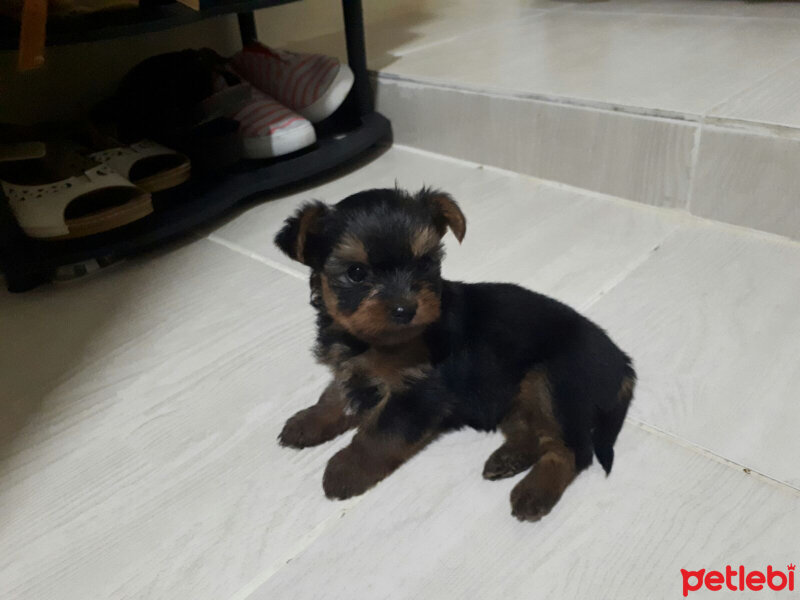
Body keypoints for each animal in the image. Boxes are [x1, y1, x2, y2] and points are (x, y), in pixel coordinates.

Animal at [276, 188, 636, 520]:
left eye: (425, 263)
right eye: (356, 273)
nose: (405, 309)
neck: (369, 341)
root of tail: (622, 360)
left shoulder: (418, 393)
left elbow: (380, 434)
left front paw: (346, 469)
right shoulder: (350, 370)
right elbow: (334, 396)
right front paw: (307, 422)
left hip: (555, 383)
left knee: (572, 449)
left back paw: (535, 491)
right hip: (515, 392)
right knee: (531, 430)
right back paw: (508, 460)